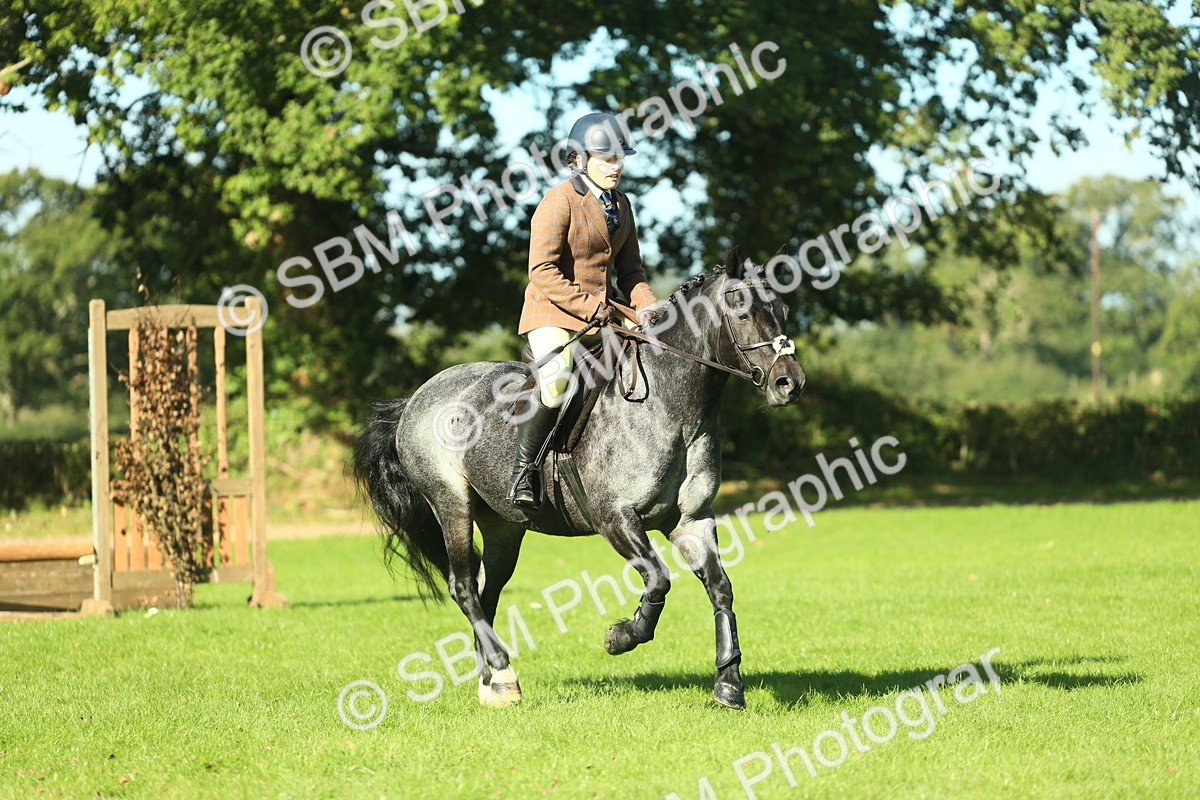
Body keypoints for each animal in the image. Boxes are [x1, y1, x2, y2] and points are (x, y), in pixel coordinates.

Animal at [352, 245, 806, 709]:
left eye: (784, 309)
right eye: (742, 310)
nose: (790, 384)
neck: (672, 410)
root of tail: (417, 396)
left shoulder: (691, 521)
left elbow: (720, 587)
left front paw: (728, 682)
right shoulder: (615, 518)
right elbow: (658, 580)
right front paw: (621, 636)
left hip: (502, 525)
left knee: (485, 588)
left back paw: (491, 681)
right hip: (451, 505)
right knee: (462, 586)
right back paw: (504, 672)